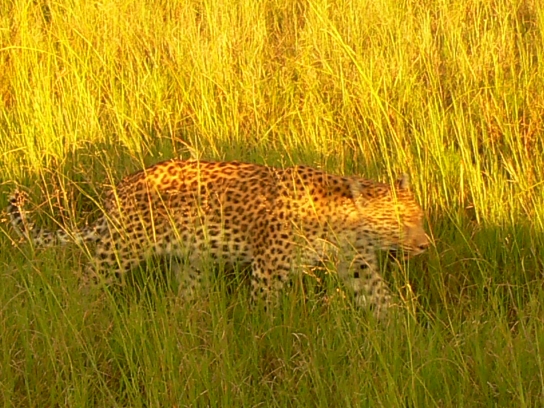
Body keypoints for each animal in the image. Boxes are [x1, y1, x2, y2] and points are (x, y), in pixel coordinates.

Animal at [7, 159, 429, 318]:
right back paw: (81, 315)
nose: (427, 244)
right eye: (400, 220)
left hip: (190, 260)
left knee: (185, 295)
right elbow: (265, 311)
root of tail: (120, 188)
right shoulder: (268, 268)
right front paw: (266, 337)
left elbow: (380, 298)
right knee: (88, 281)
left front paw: (402, 330)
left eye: (419, 218)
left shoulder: (357, 265)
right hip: (120, 249)